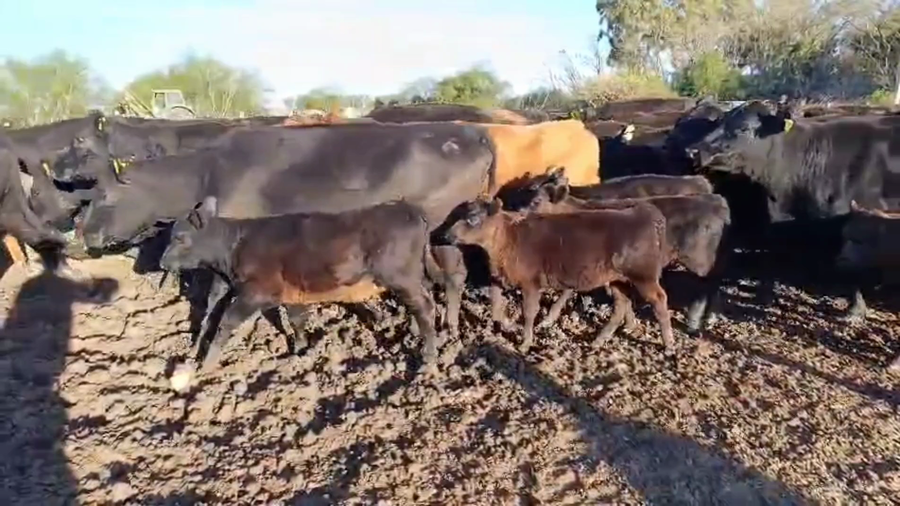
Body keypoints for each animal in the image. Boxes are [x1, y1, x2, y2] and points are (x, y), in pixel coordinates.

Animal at [159, 197, 440, 377]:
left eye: (180, 238)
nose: (162, 262)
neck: (235, 246)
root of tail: (407, 207)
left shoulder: (255, 292)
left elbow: (225, 322)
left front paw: (206, 365)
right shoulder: (291, 293)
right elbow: (296, 321)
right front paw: (301, 351)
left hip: (400, 276)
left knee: (425, 307)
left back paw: (428, 358)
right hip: (412, 276)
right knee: (422, 303)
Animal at [442, 197, 674, 353]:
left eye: (472, 219)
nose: (447, 235)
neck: (508, 238)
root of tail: (645, 213)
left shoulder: (530, 282)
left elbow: (529, 313)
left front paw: (525, 343)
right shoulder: (499, 277)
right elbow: (496, 303)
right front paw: (504, 324)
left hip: (643, 275)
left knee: (659, 300)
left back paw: (669, 344)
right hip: (618, 279)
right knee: (621, 306)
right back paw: (598, 340)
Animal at [518, 169, 731, 336]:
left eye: (536, 201)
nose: (519, 214)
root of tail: (714, 199)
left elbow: (567, 291)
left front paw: (547, 319)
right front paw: (629, 324)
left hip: (700, 262)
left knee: (708, 286)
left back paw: (695, 322)